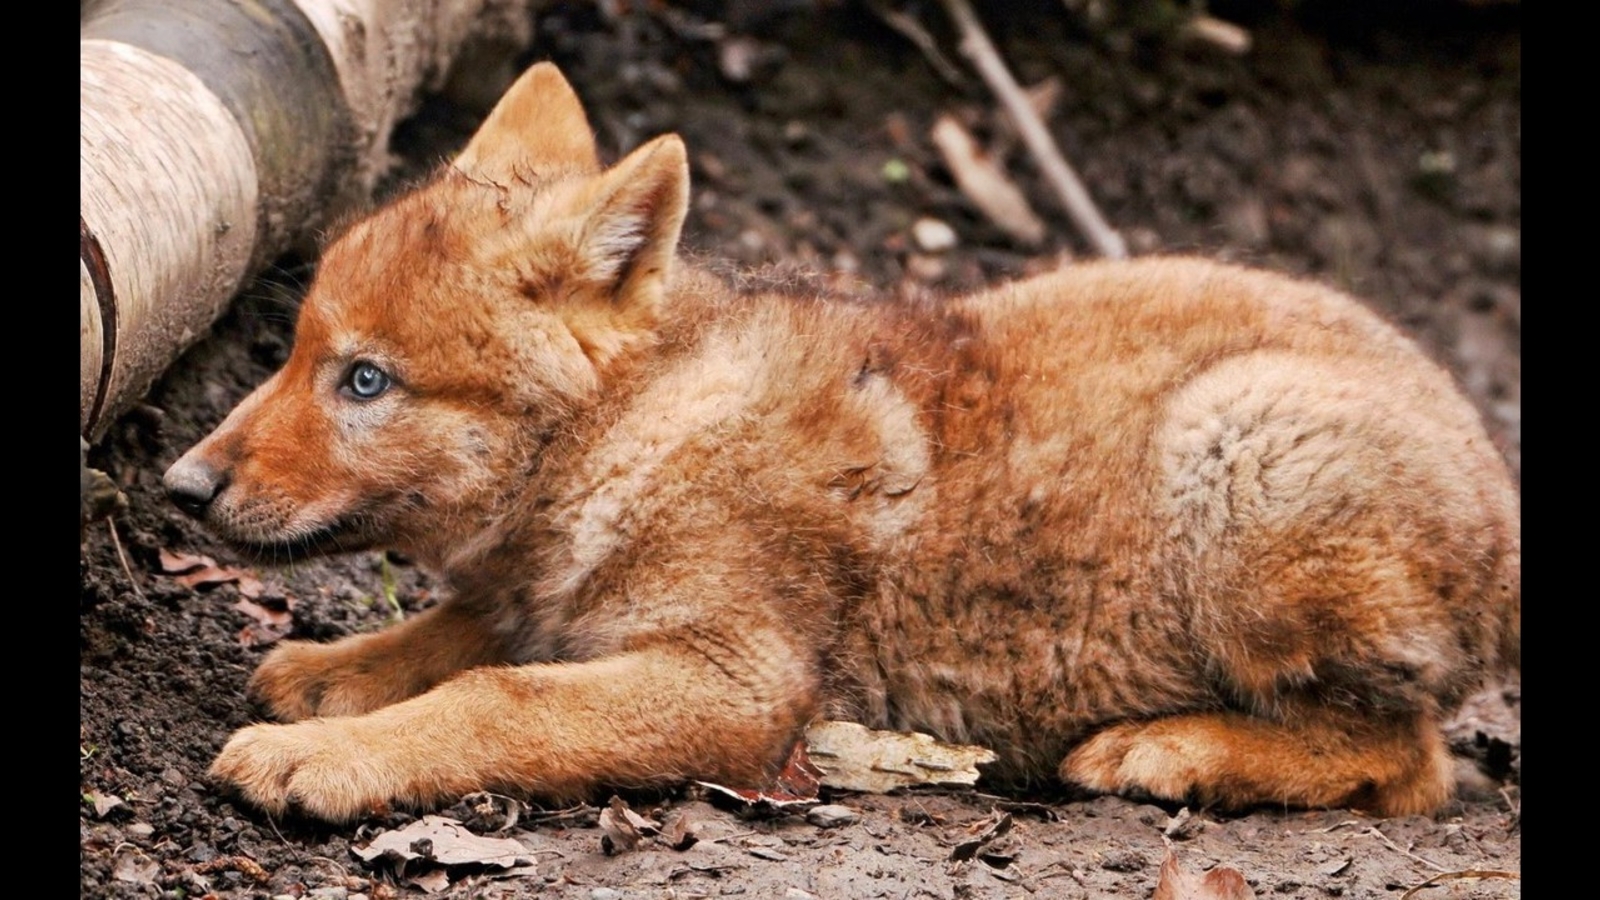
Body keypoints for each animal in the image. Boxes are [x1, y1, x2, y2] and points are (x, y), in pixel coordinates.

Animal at [163, 63, 1520, 823]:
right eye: (295, 351)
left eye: (367, 381)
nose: (178, 485)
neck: (641, 431)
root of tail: (1504, 509)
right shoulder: (551, 601)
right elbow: (463, 636)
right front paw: (330, 677)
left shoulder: (737, 687)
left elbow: (495, 700)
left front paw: (322, 759)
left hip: (1239, 449)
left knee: (1409, 763)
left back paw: (1169, 750)